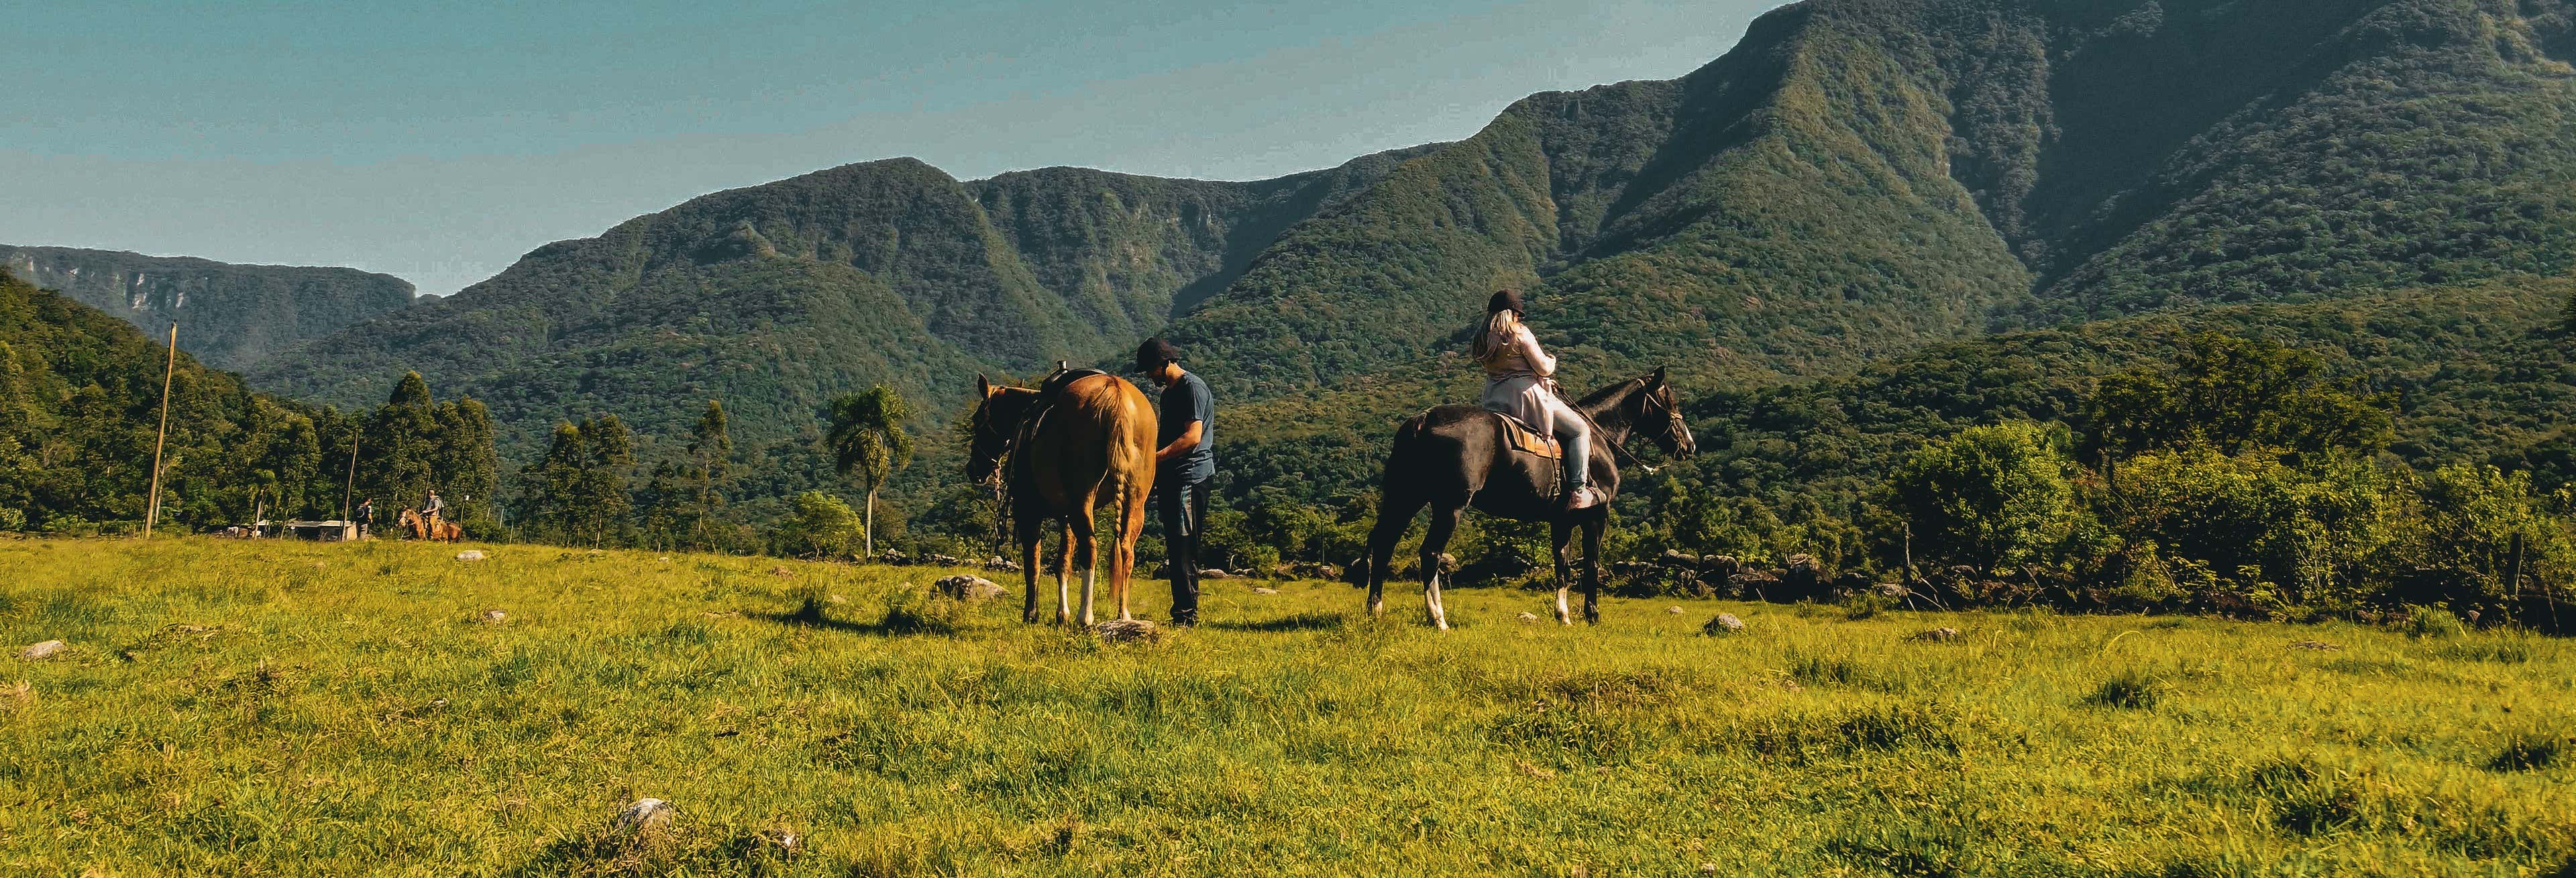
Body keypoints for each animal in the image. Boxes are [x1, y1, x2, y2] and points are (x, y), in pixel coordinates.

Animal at [968, 368, 1164, 622]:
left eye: (976, 420)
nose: (973, 469)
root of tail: (1116, 395)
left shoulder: (1028, 511)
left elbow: (1033, 564)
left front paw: (1031, 613)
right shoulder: (1066, 516)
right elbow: (1063, 563)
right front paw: (1062, 614)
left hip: (1083, 498)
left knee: (1090, 547)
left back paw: (1086, 616)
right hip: (1135, 499)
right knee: (1126, 549)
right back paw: (1124, 615)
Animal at [1360, 366, 1700, 625]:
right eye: (1669, 400)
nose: (1690, 445)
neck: (1598, 439)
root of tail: (1423, 419)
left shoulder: (1561, 520)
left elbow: (1563, 564)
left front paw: (1563, 616)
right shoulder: (1596, 516)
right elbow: (1591, 564)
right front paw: (1593, 615)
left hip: (1406, 498)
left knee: (1384, 545)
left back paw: (1375, 611)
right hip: (1450, 505)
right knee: (1429, 553)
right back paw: (1438, 618)